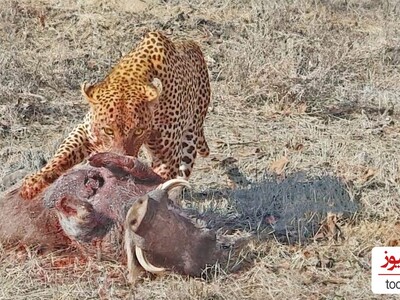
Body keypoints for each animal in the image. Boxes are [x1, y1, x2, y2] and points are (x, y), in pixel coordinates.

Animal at [19, 30, 209, 200]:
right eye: (108, 131)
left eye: (138, 131)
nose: (118, 167)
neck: (131, 77)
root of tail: (191, 44)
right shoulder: (86, 130)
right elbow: (62, 155)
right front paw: (34, 181)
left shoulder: (166, 157)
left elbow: (157, 180)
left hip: (190, 137)